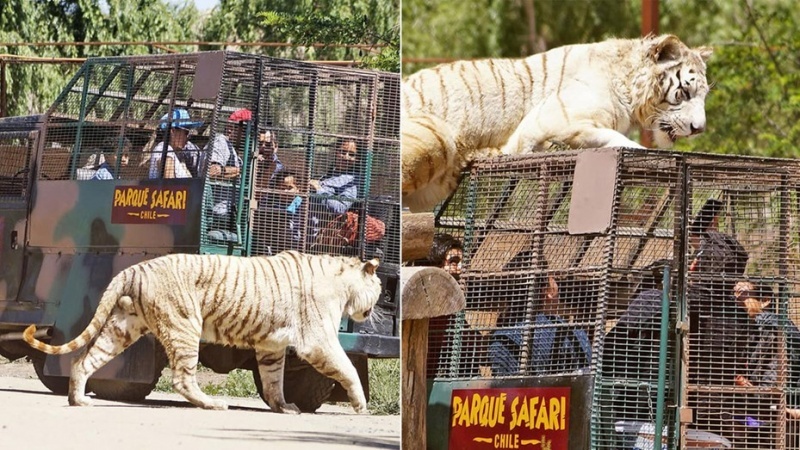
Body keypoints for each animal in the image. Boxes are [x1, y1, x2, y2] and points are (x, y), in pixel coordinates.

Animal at [20, 251, 380, 414]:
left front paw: (283, 407)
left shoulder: (271, 345)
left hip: (122, 327)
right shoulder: (317, 340)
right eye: (378, 288)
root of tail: (134, 267)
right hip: (184, 325)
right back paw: (213, 404)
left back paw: (79, 399)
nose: (374, 308)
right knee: (182, 378)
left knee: (84, 360)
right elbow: (347, 368)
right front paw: (361, 404)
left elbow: (273, 379)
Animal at [406, 33, 712, 213]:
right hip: (435, 136)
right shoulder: (554, 117)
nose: (699, 129)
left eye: (704, 95)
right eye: (685, 92)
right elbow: (613, 138)